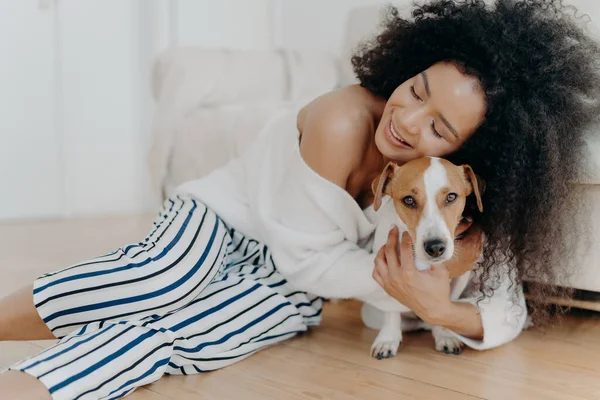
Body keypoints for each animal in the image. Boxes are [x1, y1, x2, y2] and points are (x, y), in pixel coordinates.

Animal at [366, 157, 482, 360]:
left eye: (451, 197)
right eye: (409, 200)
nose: (435, 247)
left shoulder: (461, 277)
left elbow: (444, 306)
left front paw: (444, 334)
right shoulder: (387, 269)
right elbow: (391, 308)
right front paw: (388, 338)